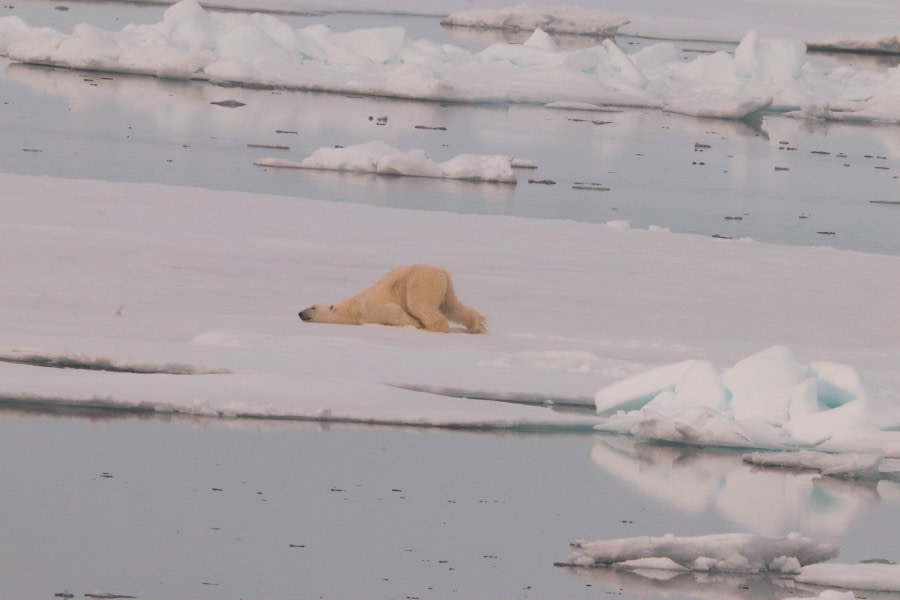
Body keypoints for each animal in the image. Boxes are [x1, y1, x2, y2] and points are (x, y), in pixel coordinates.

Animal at [298, 266, 486, 336]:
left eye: (312, 307)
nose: (300, 313)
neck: (348, 309)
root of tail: (443, 273)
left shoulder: (365, 309)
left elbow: (392, 310)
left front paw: (416, 323)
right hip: (443, 289)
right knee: (452, 307)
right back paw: (476, 325)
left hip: (420, 283)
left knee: (421, 306)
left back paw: (432, 328)